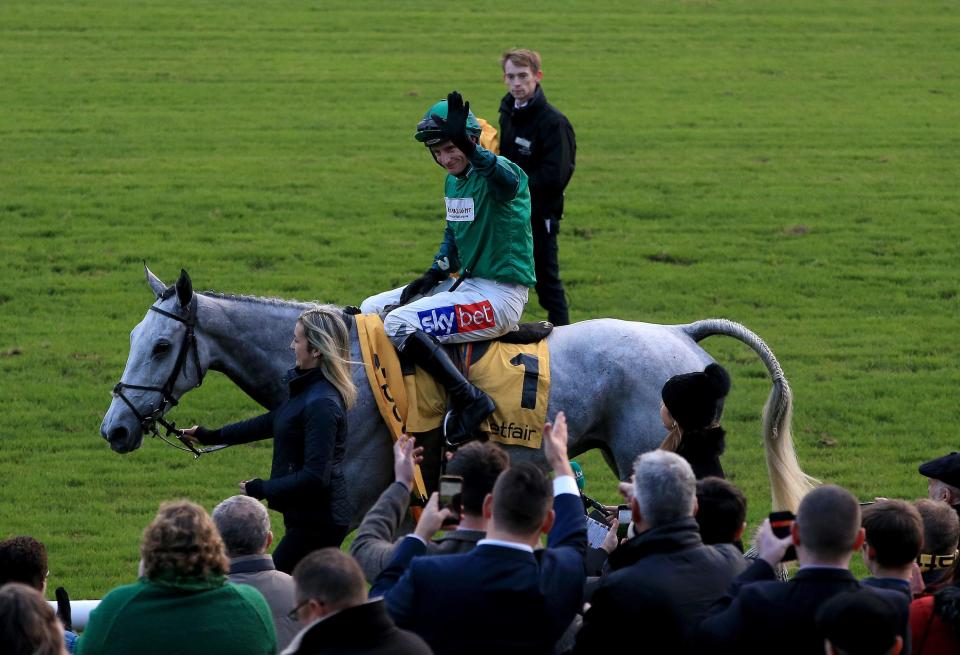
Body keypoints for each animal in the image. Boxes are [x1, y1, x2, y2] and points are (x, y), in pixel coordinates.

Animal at [101, 266, 812, 524]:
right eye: (135, 338)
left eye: (160, 348)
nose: (115, 428)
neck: (346, 371)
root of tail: (680, 333)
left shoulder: (355, 500)